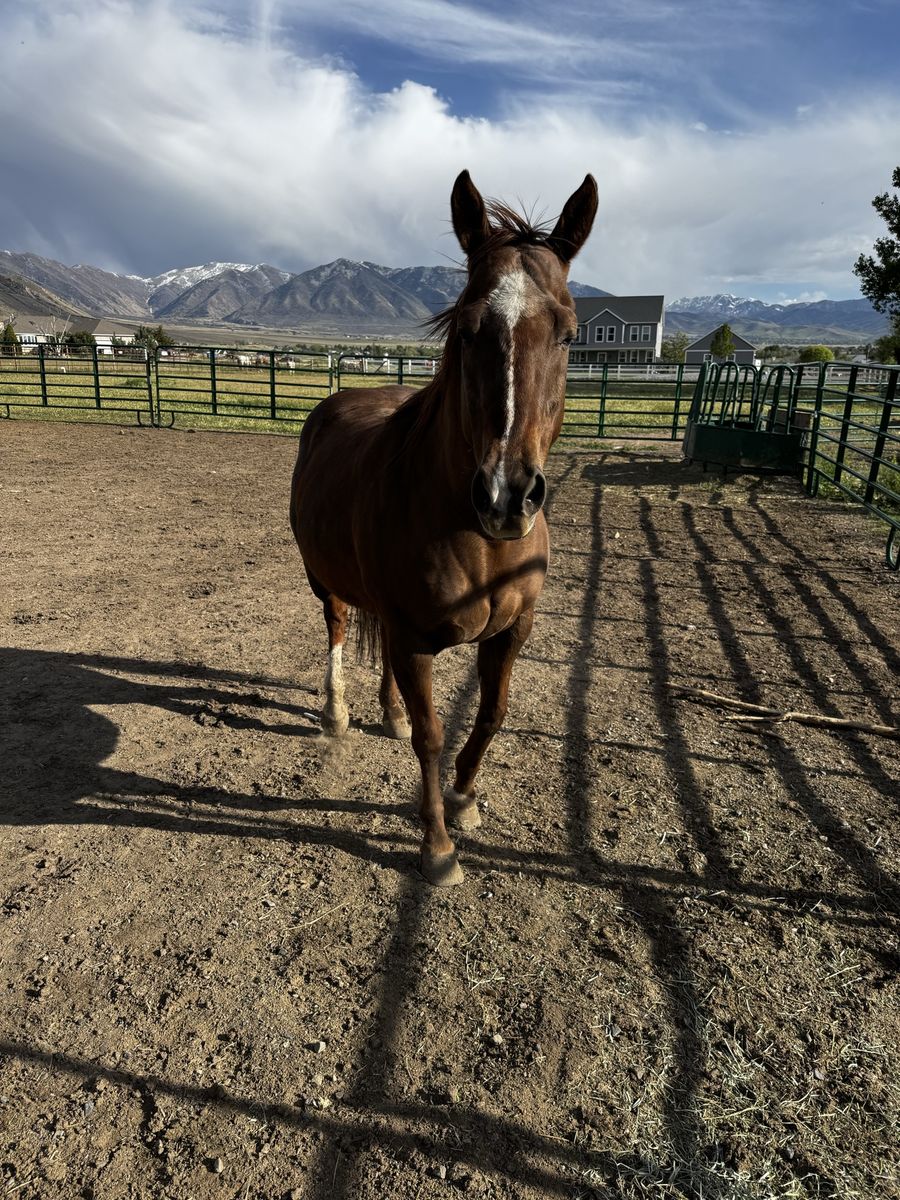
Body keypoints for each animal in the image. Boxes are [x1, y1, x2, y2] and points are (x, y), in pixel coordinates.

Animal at [290, 169, 597, 886]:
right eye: (467, 326)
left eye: (569, 333)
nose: (507, 496)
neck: (478, 540)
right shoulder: (414, 639)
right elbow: (434, 734)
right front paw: (436, 846)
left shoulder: (512, 630)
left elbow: (490, 714)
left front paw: (464, 796)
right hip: (325, 581)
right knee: (338, 629)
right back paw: (338, 713)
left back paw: (390, 715)